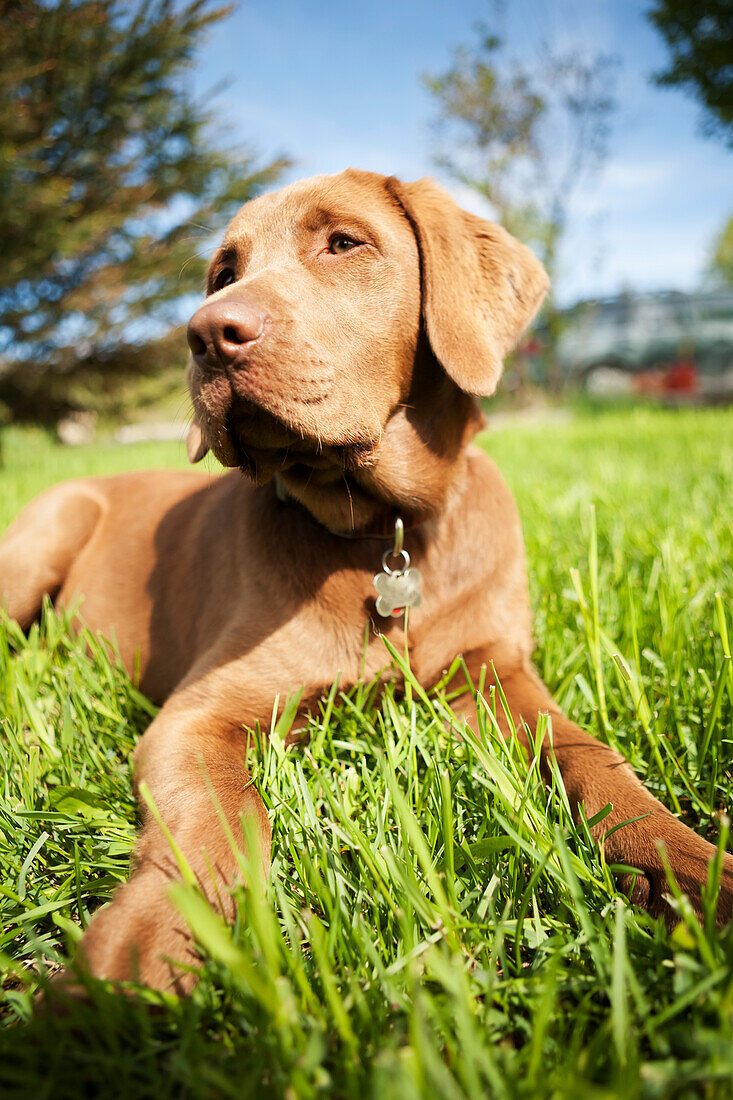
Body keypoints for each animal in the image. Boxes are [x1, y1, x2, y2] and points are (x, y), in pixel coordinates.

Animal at [1, 169, 730, 990]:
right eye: (223, 274)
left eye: (343, 243)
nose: (205, 334)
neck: (382, 531)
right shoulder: (198, 713)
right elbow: (219, 815)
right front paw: (134, 961)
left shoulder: (494, 672)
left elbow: (591, 758)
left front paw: (696, 872)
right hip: (47, 530)